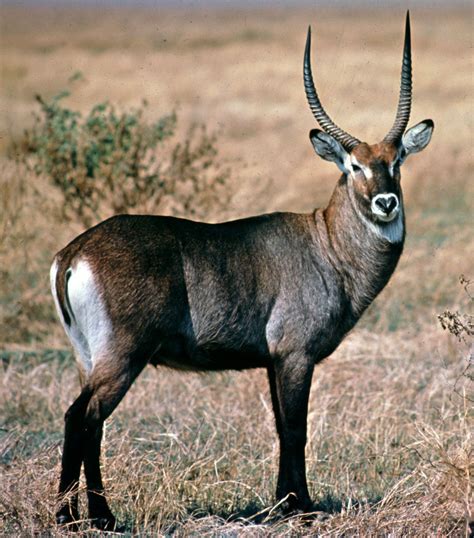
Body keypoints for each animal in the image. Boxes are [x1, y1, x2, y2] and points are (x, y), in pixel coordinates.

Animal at [50, 11, 432, 528]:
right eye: (354, 165)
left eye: (397, 161)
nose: (386, 202)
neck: (327, 242)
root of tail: (75, 252)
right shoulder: (295, 355)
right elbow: (295, 429)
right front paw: (301, 509)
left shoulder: (274, 361)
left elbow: (279, 427)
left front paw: (282, 504)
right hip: (121, 358)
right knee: (82, 418)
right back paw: (81, 517)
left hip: (89, 359)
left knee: (92, 423)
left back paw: (93, 516)